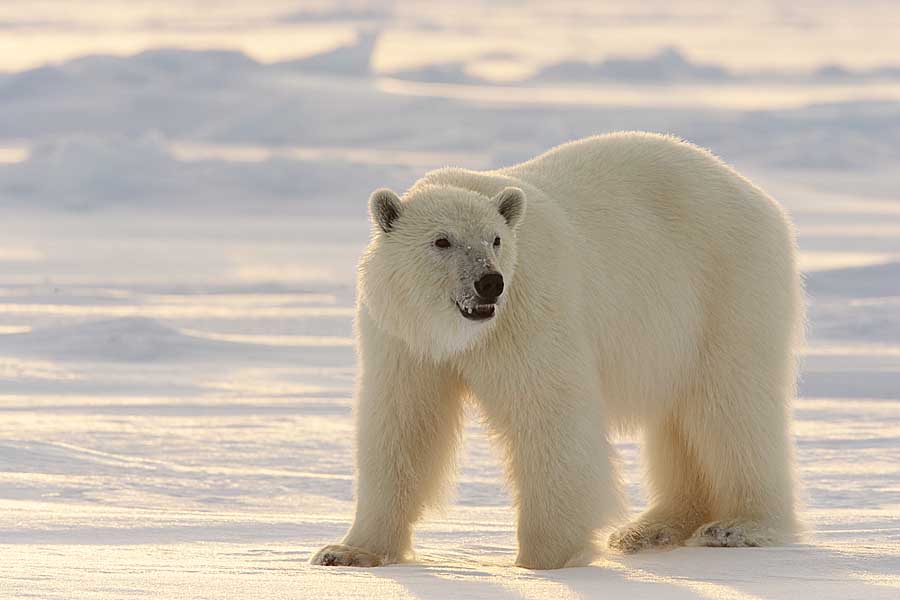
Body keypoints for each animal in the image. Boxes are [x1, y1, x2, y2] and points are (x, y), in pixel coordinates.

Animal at [312, 134, 804, 568]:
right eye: (442, 240)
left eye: (495, 239)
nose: (490, 282)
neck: (459, 332)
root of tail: (757, 195)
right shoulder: (403, 337)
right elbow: (403, 423)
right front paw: (347, 551)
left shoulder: (530, 311)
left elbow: (548, 413)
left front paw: (544, 558)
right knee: (679, 419)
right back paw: (650, 528)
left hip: (728, 284)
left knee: (731, 405)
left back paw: (738, 526)